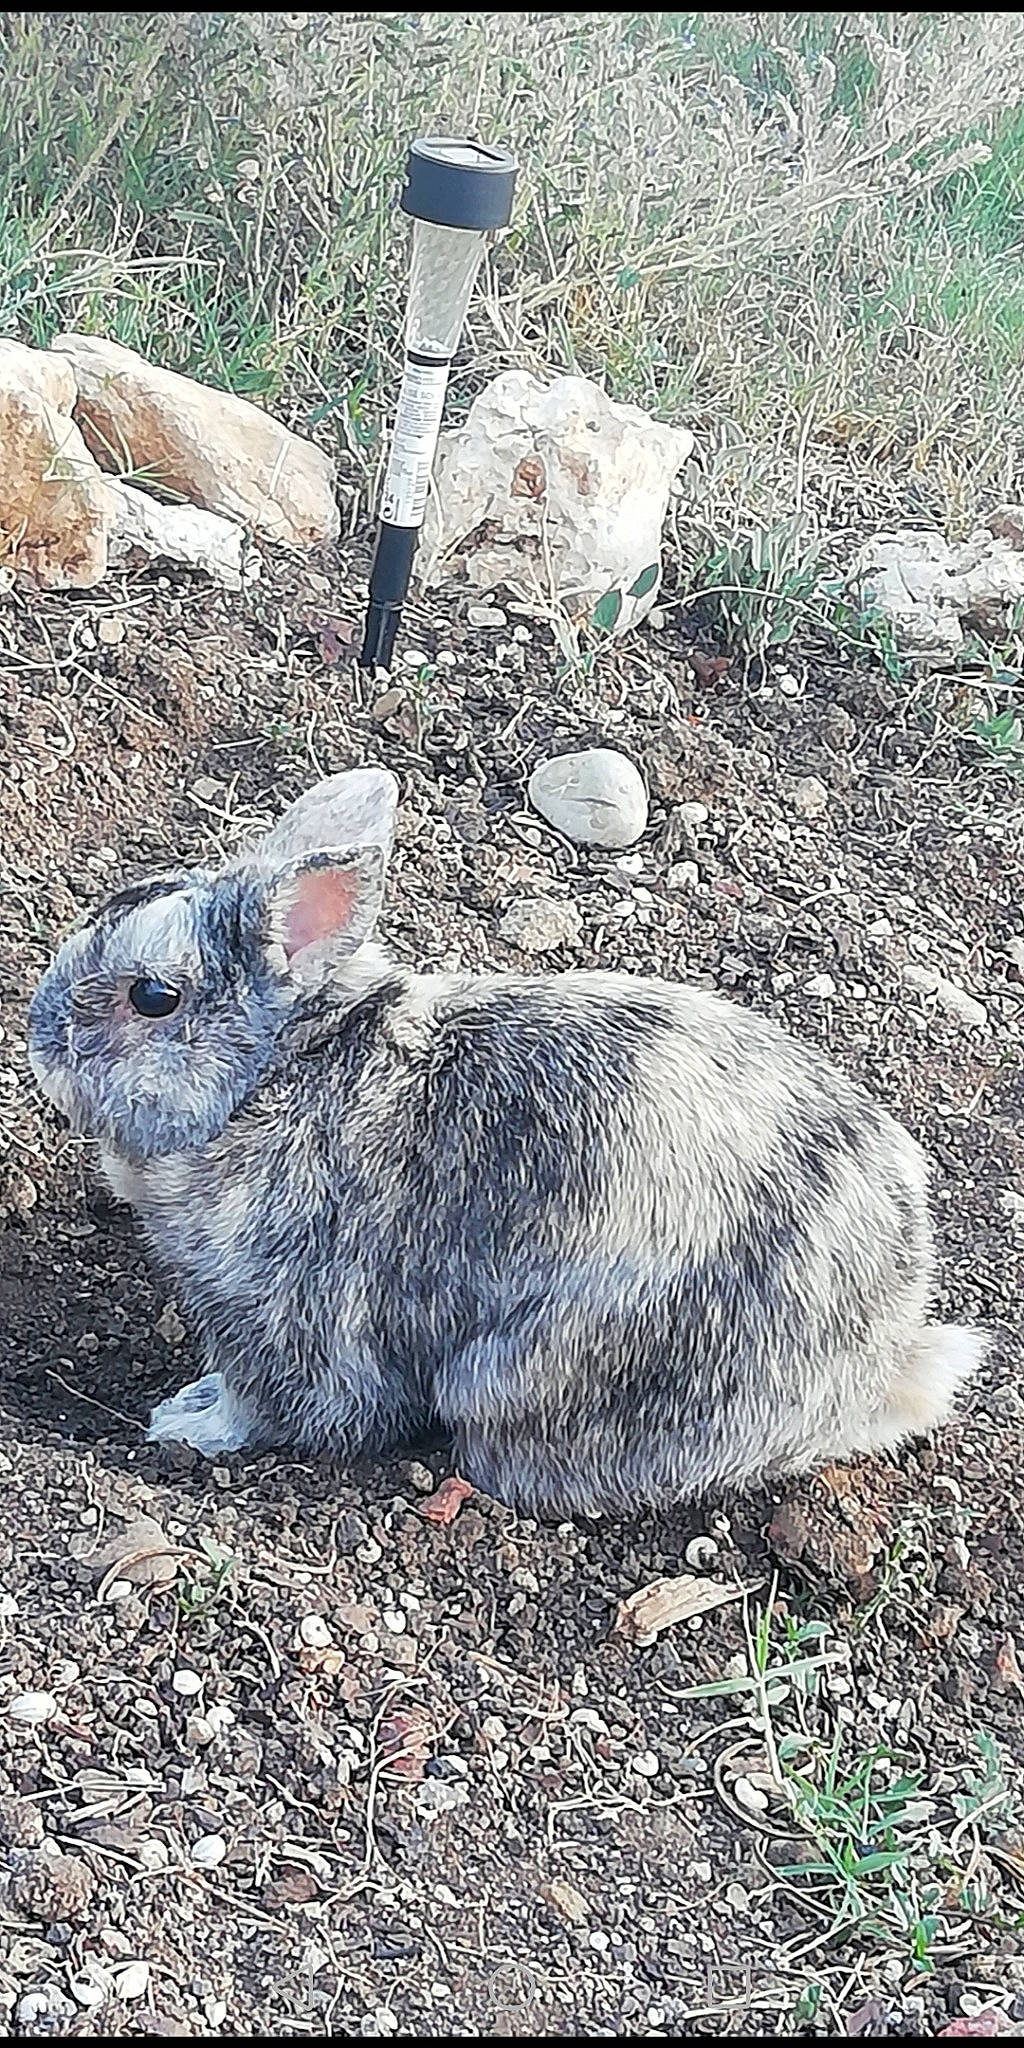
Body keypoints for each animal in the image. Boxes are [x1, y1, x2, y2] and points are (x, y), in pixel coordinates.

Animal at [27, 766, 985, 1517]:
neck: (271, 1079)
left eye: (154, 997)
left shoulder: (284, 1320)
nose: (39, 1037)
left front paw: (185, 1424)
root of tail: (881, 1359)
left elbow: (269, 1406)